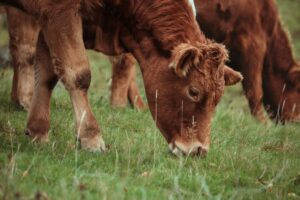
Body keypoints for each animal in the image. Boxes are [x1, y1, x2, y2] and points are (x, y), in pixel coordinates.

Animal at [1, 0, 243, 156]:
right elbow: (78, 74)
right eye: (193, 91)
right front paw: (91, 137)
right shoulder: (60, 13)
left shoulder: (51, 19)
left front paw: (38, 130)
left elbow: (46, 74)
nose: (198, 150)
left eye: (217, 99)